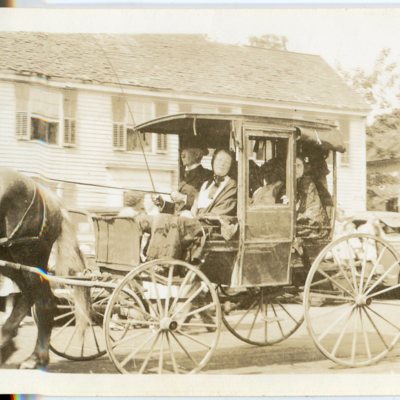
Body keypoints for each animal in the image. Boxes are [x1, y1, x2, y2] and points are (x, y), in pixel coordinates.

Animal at [0, 168, 90, 368]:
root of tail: (49, 197)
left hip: (29, 256)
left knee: (44, 301)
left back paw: (36, 356)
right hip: (12, 258)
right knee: (29, 295)